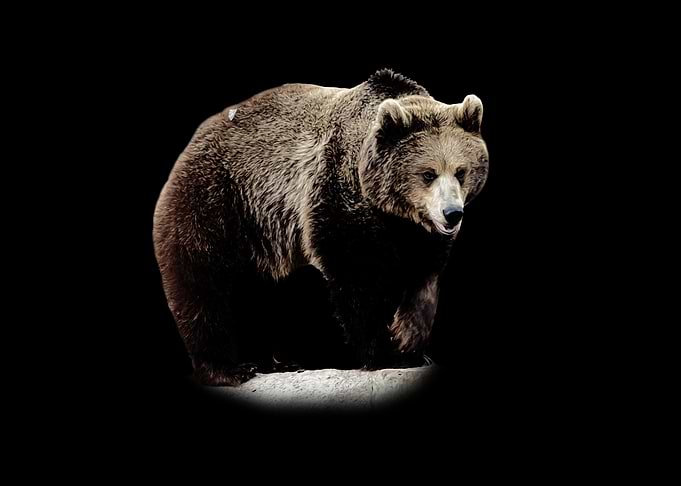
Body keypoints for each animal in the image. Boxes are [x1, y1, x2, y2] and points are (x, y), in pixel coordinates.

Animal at [153, 69, 489, 386]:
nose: (452, 214)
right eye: (428, 174)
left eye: (461, 172)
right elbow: (356, 274)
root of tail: (194, 141)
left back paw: (276, 362)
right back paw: (228, 368)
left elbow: (422, 279)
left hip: (267, 234)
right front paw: (384, 353)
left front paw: (411, 342)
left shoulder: (417, 235)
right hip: (219, 198)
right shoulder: (336, 193)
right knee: (203, 281)